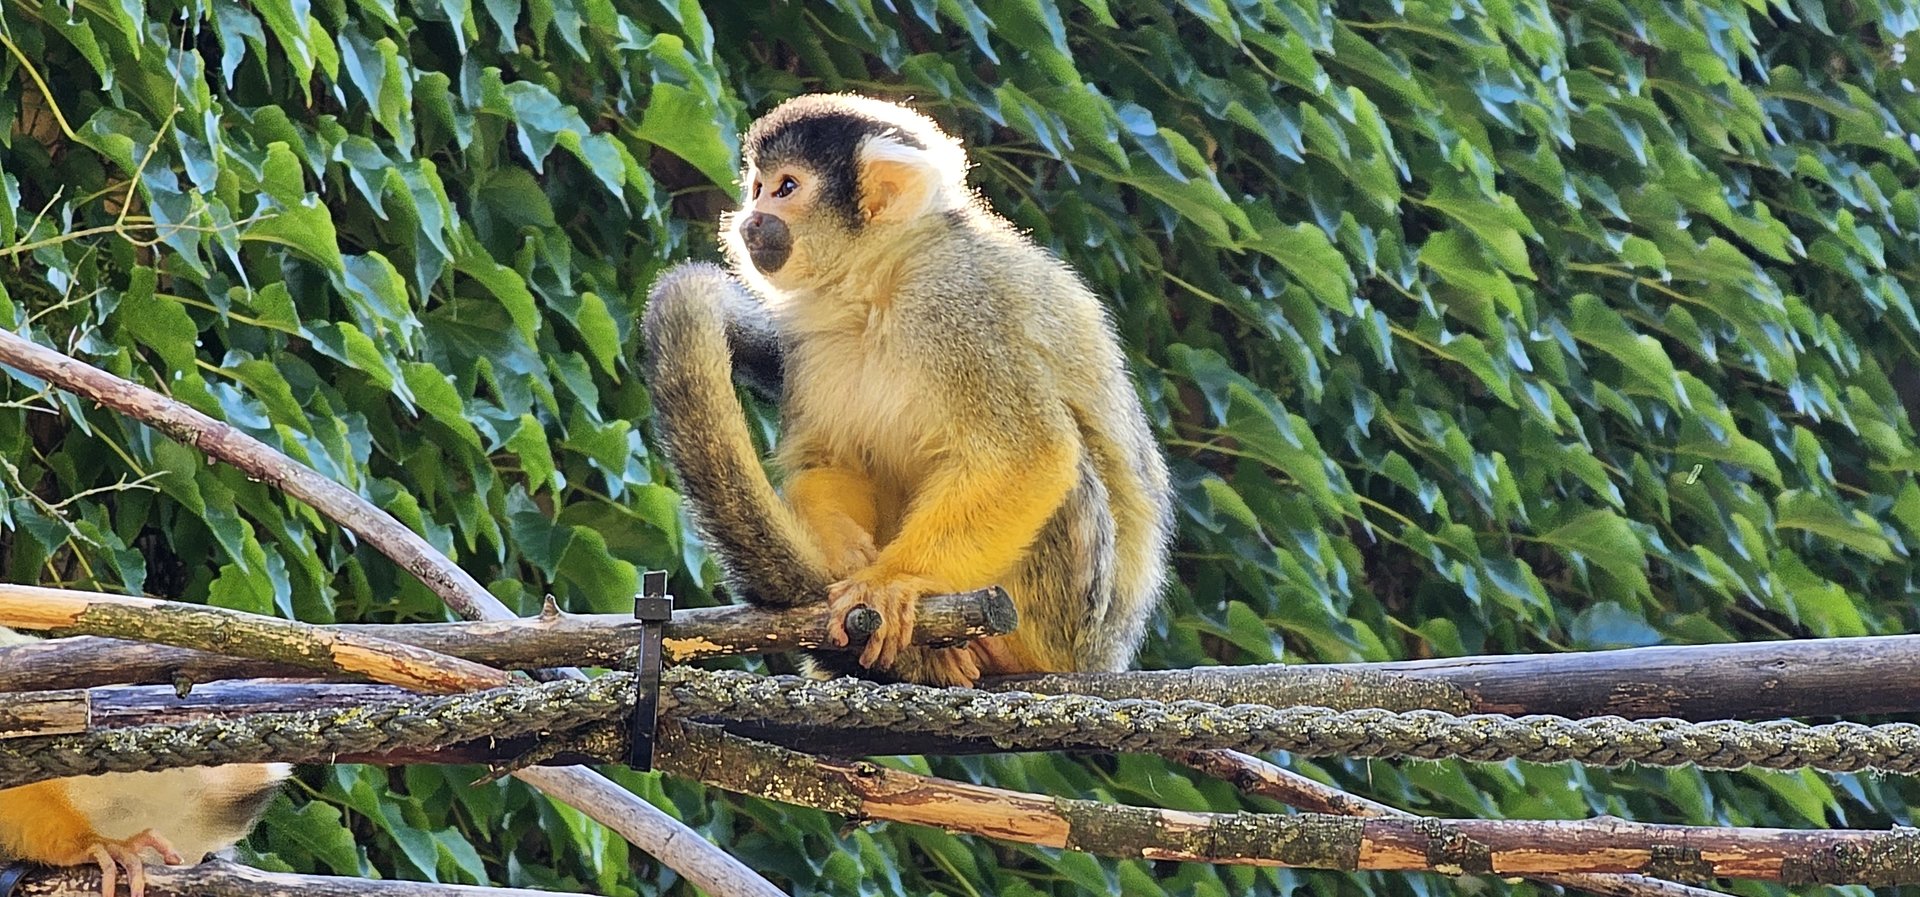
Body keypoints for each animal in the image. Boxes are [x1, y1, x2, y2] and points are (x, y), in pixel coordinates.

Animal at [643, 93, 1172, 687]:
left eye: (786, 188)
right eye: (758, 187)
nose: (751, 219)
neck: (879, 286)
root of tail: (1108, 658)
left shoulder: (954, 304)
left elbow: (1029, 453)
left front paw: (890, 580)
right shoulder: (809, 335)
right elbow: (833, 458)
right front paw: (846, 555)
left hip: (1075, 628)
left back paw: (1005, 650)